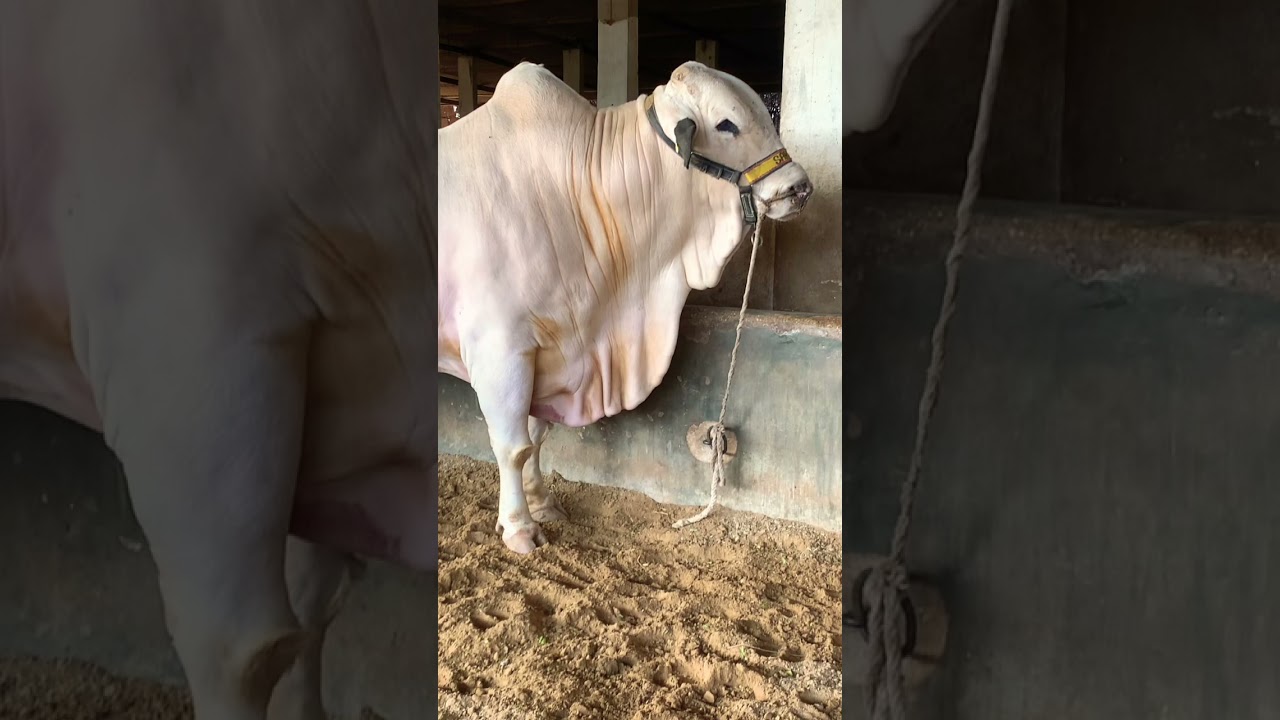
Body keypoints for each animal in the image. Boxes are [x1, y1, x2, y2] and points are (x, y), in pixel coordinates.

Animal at [437, 61, 814, 555]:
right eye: (727, 124)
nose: (800, 188)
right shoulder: (500, 348)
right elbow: (513, 447)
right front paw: (520, 527)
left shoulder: (547, 351)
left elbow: (537, 438)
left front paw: (543, 504)